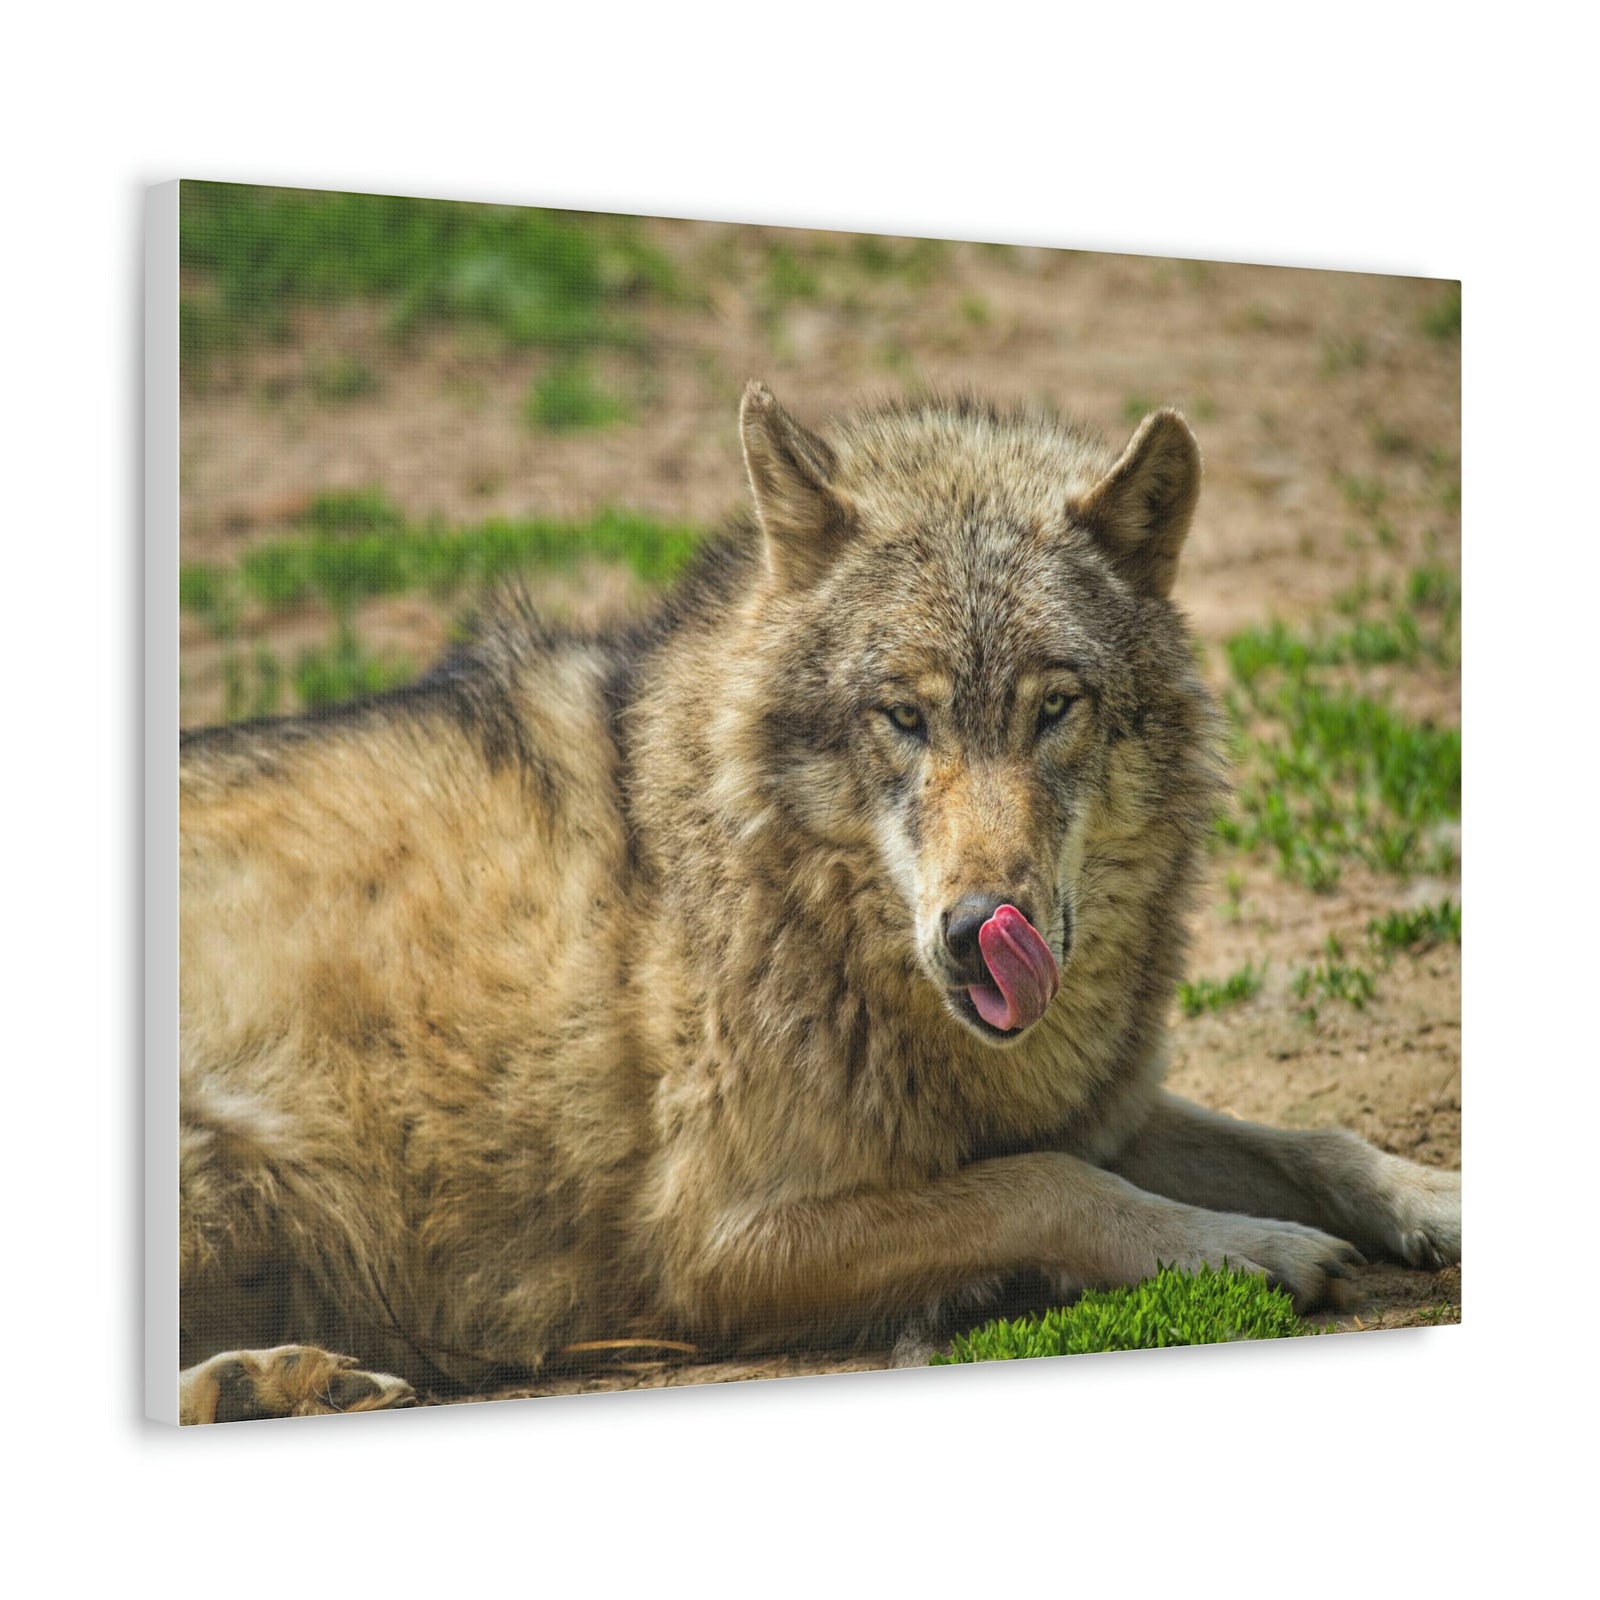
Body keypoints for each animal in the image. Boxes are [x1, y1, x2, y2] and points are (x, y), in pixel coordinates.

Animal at [175, 383, 1461, 1421]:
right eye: (904, 715)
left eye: (1055, 706)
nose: (978, 933)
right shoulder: (717, 1242)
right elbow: (1050, 1185)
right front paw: (1246, 1249)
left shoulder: (1097, 1105)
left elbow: (1314, 1139)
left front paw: (1430, 1200)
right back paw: (266, 1383)